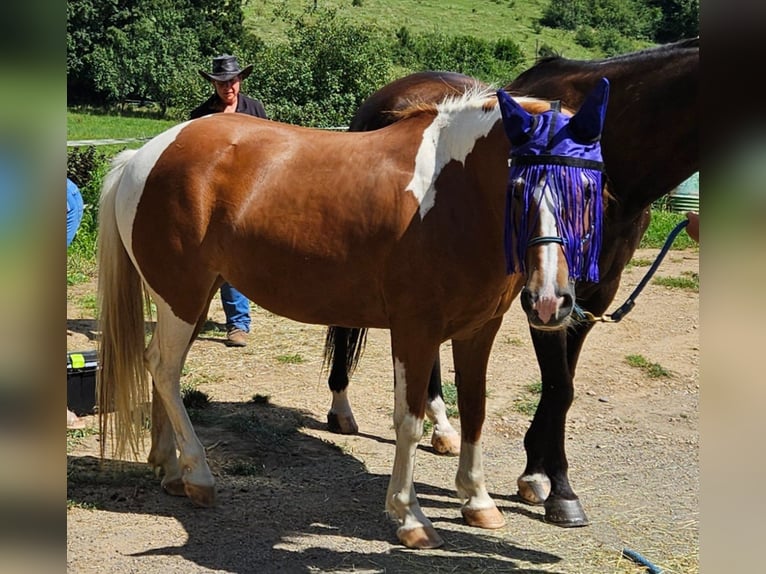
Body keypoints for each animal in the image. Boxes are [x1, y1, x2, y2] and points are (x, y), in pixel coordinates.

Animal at [97, 80, 612, 548]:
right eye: (519, 186)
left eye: (590, 190)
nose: (550, 301)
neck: (453, 194)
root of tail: (145, 155)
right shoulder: (415, 330)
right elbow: (409, 421)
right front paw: (410, 518)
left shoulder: (478, 330)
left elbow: (475, 410)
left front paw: (477, 501)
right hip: (181, 296)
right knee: (165, 368)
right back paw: (199, 475)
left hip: (190, 296)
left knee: (162, 367)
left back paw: (170, 468)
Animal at [324, 37, 704, 528]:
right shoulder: (543, 299)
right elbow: (560, 387)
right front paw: (558, 489)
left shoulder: (588, 300)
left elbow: (563, 388)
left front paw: (537, 474)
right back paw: (341, 409)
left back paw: (442, 427)